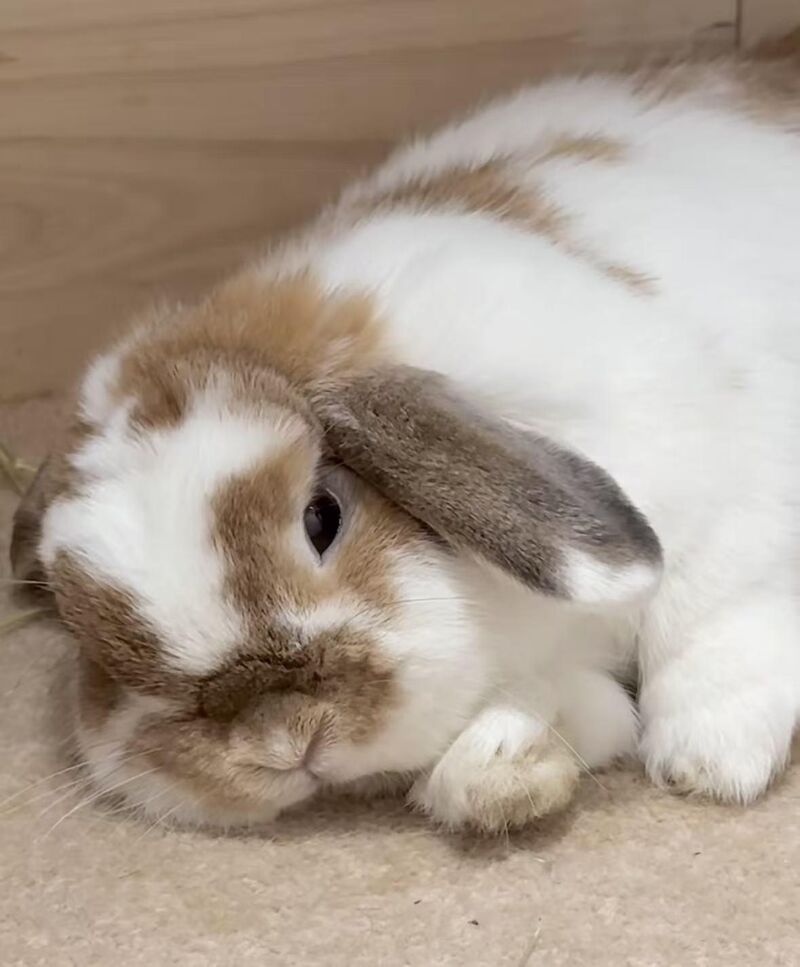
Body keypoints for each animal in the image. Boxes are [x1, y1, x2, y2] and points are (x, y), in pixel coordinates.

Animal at [11, 54, 800, 833]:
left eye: (322, 516)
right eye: (96, 647)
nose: (283, 740)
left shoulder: (728, 487)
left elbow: (707, 611)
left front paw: (709, 759)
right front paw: (504, 767)